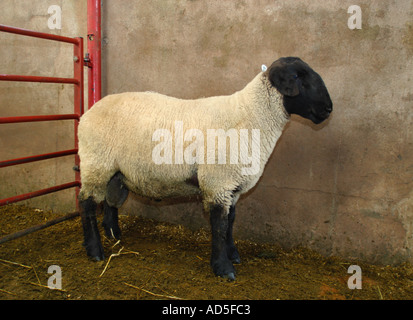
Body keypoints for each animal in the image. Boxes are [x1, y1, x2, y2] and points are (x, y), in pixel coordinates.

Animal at [77, 57, 334, 280]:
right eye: (298, 76)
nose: (328, 109)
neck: (251, 116)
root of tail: (89, 111)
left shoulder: (232, 187)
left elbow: (230, 222)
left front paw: (233, 255)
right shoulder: (218, 182)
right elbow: (219, 225)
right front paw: (223, 268)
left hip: (112, 171)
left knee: (108, 201)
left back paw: (114, 235)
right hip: (95, 163)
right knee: (86, 203)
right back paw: (95, 251)